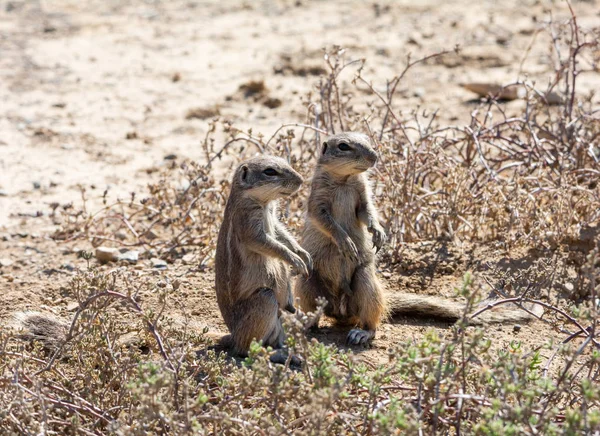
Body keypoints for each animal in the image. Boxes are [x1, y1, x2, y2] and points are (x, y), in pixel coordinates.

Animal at [216, 156, 312, 358]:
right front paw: (295, 259)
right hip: (265, 299)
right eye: (269, 171)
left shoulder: (273, 220)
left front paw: (303, 254)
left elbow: (282, 234)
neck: (266, 203)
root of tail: (232, 335)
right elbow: (272, 245)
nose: (301, 180)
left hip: (283, 318)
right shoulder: (248, 224)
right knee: (245, 349)